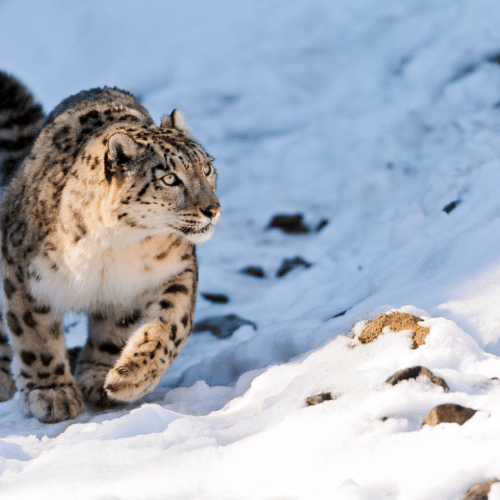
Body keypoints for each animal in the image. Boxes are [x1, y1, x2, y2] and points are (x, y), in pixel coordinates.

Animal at [0, 71, 221, 422]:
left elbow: (171, 325)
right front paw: (52, 394)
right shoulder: (23, 272)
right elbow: (35, 335)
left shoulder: (174, 270)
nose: (212, 209)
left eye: (207, 167)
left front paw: (128, 377)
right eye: (170, 178)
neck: (115, 246)